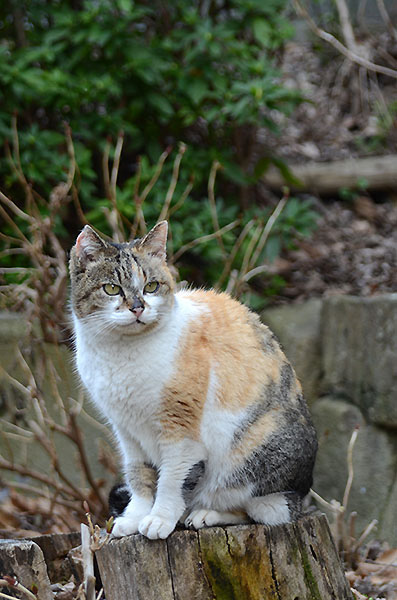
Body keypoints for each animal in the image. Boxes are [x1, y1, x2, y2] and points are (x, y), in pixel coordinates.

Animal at [69, 223, 316, 540]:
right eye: (112, 288)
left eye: (151, 287)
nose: (137, 307)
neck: (121, 354)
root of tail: (303, 493)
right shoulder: (126, 430)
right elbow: (139, 476)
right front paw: (135, 518)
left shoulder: (181, 430)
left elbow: (172, 479)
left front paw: (159, 519)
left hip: (254, 461)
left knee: (261, 512)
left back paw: (204, 514)